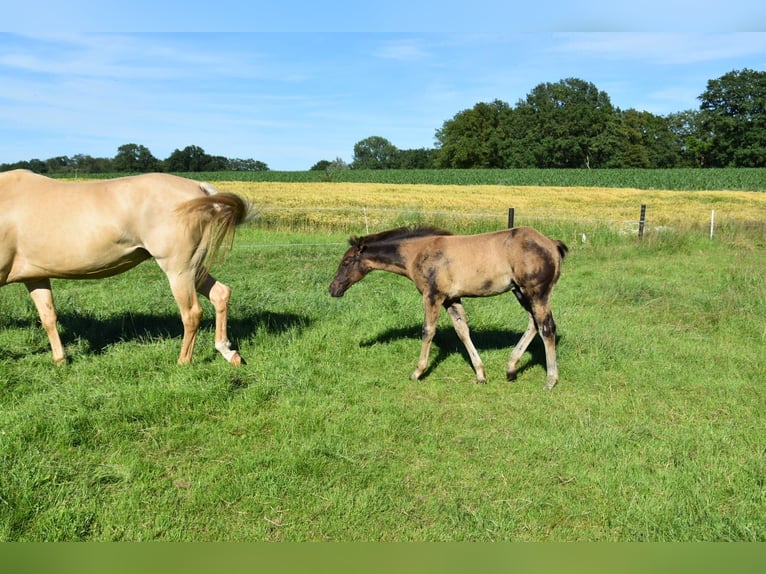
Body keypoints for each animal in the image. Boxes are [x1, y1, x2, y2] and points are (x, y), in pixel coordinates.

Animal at [0, 169, 251, 365]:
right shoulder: (35, 278)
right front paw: (60, 360)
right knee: (220, 294)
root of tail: (199, 188)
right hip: (193, 269)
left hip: (179, 270)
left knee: (191, 313)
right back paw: (228, 352)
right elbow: (48, 317)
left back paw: (183, 361)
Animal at [329, 225, 568, 389]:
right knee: (534, 323)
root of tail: (552, 244)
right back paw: (510, 368)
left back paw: (550, 380)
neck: (418, 252)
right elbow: (462, 331)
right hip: (519, 291)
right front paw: (480, 374)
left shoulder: (433, 295)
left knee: (547, 327)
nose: (333, 289)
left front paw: (417, 372)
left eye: (347, 262)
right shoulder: (451, 299)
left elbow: (427, 331)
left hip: (536, 292)